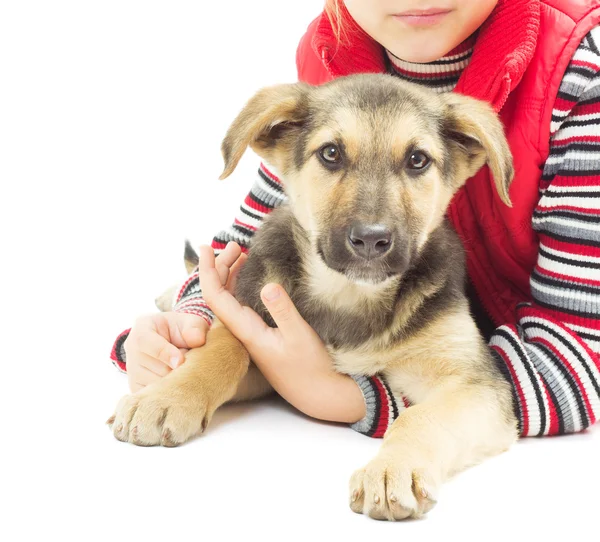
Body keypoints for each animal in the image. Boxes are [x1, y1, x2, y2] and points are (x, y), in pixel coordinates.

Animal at [109, 75, 520, 524]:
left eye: (417, 160)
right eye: (331, 153)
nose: (371, 239)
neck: (349, 295)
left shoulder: (476, 385)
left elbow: (421, 416)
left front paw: (393, 468)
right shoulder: (258, 327)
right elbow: (223, 345)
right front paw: (167, 397)